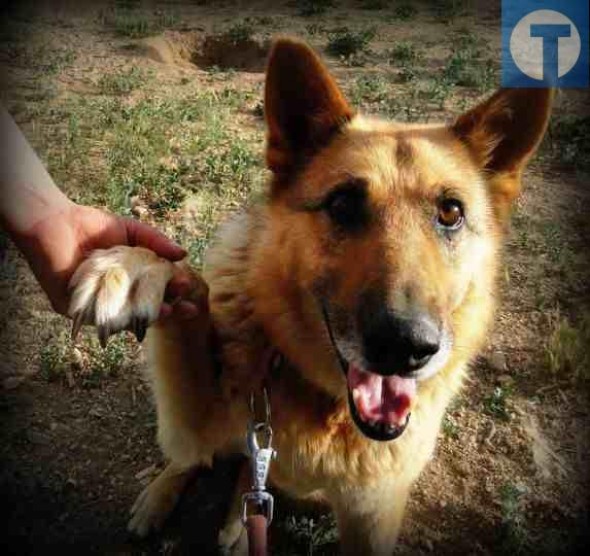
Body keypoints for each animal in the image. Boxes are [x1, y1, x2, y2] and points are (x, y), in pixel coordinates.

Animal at [69, 38, 556, 552]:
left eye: (450, 213)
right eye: (342, 204)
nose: (405, 347)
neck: (326, 401)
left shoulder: (371, 515)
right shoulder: (196, 425)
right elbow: (187, 290)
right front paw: (131, 268)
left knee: (249, 477)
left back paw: (237, 523)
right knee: (198, 462)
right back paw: (161, 500)